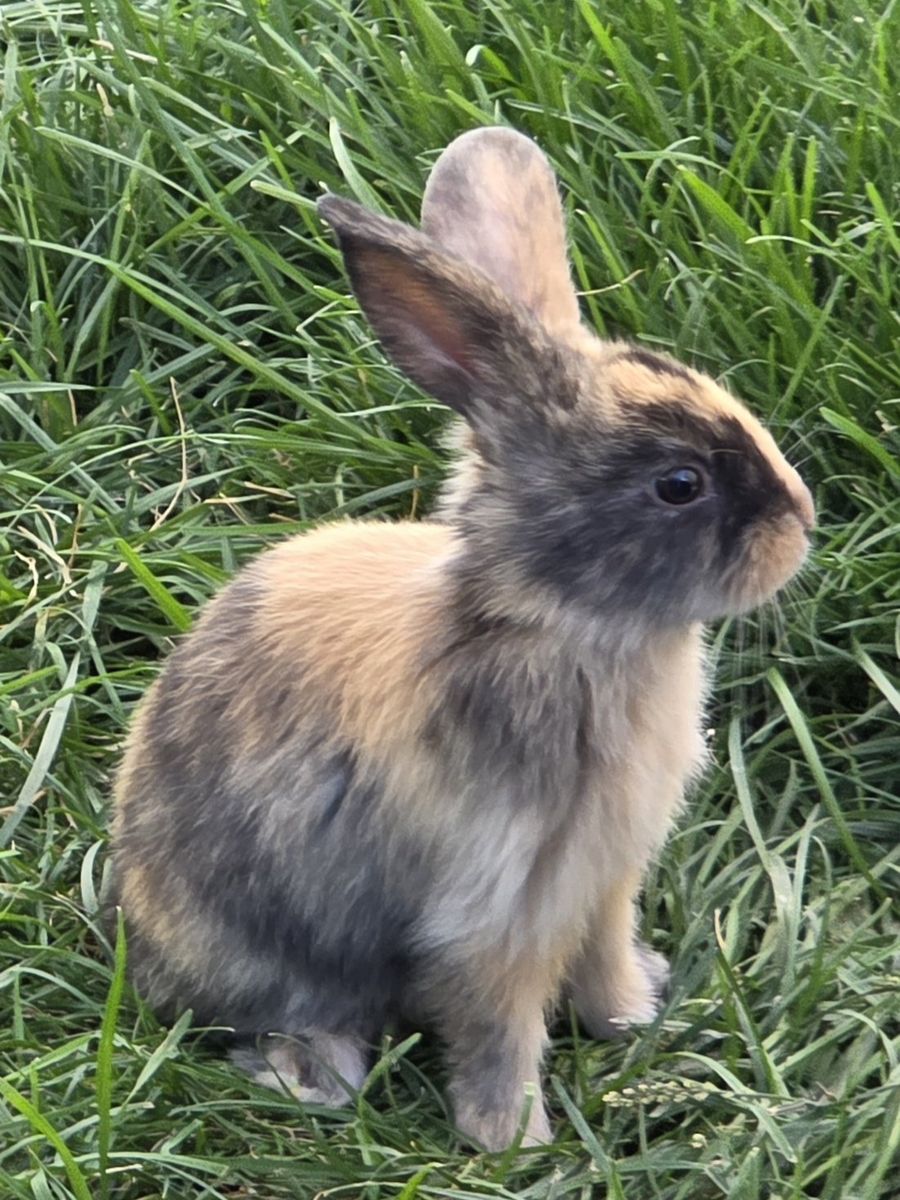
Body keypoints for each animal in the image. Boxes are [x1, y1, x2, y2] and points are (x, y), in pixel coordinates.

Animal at [108, 126, 814, 1152]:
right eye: (679, 484)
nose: (803, 523)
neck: (559, 623)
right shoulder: (496, 908)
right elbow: (499, 1023)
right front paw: (510, 1140)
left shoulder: (602, 881)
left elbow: (600, 961)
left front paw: (633, 1015)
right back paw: (315, 1076)